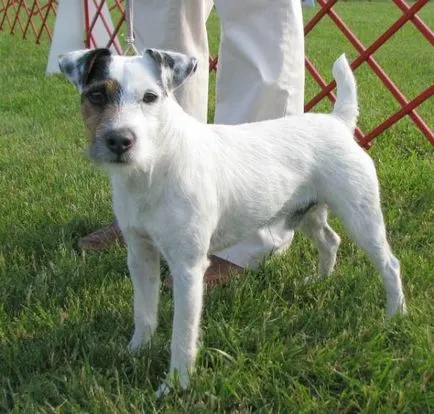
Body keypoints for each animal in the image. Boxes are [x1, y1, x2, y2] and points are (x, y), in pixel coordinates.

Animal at [58, 48, 406, 394]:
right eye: (96, 95)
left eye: (150, 97)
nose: (120, 141)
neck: (153, 168)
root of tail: (338, 122)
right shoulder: (140, 255)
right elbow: (143, 313)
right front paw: (136, 351)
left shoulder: (188, 268)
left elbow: (182, 335)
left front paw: (175, 385)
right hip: (307, 213)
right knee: (331, 241)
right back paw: (320, 280)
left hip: (361, 217)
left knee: (390, 264)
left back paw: (395, 314)